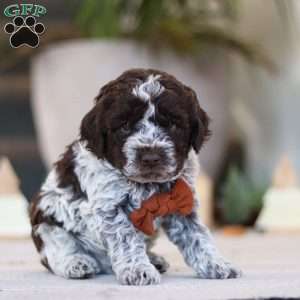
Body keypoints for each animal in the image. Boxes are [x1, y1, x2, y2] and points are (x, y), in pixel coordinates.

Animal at [29, 68, 241, 286]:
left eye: (173, 124)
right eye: (124, 126)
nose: (151, 157)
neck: (149, 184)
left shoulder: (182, 203)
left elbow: (198, 235)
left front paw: (217, 264)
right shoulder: (110, 208)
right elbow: (127, 239)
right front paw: (139, 270)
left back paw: (153, 260)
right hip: (46, 219)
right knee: (57, 249)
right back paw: (77, 262)